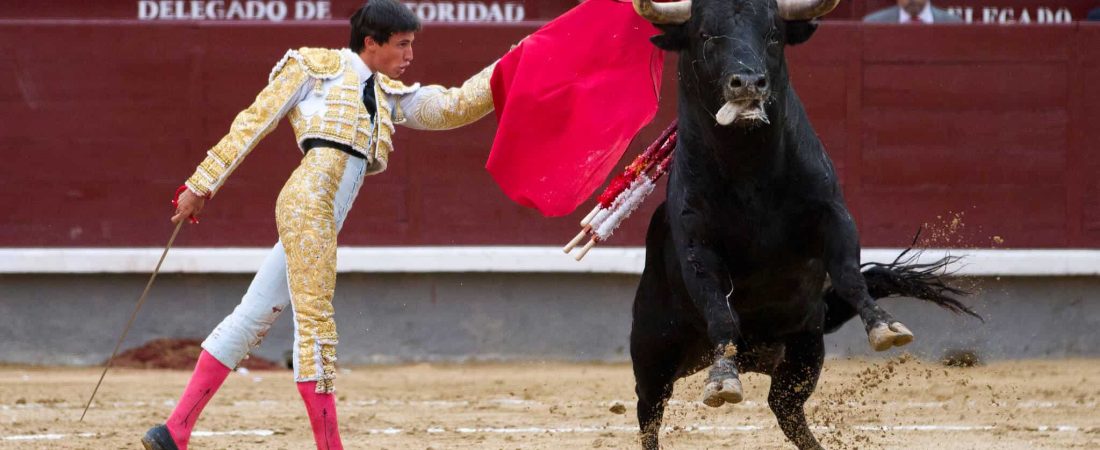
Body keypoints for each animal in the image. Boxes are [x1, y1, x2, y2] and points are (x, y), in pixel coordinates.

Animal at [629, 0, 981, 448]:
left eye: (773, 34)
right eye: (704, 35)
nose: (748, 83)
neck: (749, 169)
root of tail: (755, 355)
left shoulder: (833, 215)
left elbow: (849, 276)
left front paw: (885, 327)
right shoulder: (697, 244)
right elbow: (719, 308)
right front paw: (722, 379)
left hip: (804, 352)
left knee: (787, 409)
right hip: (651, 357)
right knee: (649, 413)